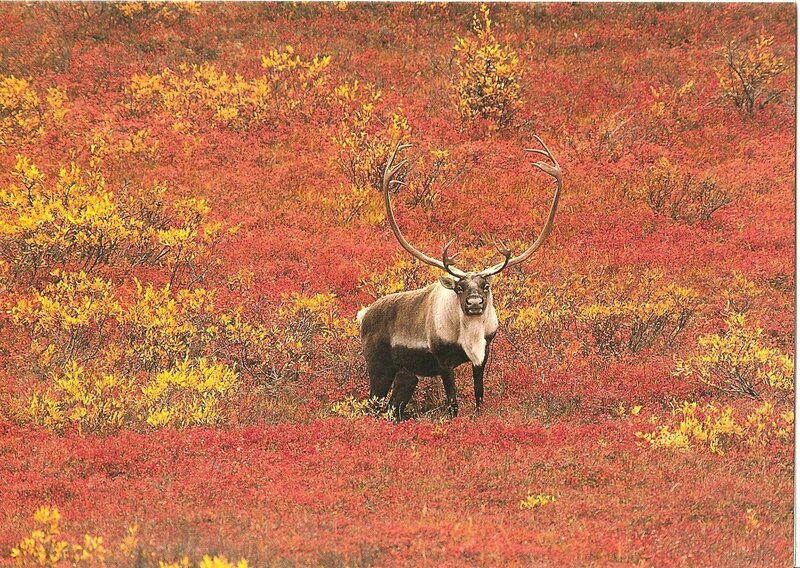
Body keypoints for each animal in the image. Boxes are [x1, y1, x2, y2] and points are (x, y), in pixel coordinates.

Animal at [357, 137, 562, 421]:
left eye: (485, 286)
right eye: (460, 287)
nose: (475, 304)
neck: (470, 336)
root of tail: (363, 314)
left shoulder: (484, 354)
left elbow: (479, 394)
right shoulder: (443, 361)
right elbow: (453, 402)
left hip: (407, 375)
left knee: (393, 408)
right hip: (379, 367)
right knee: (372, 405)